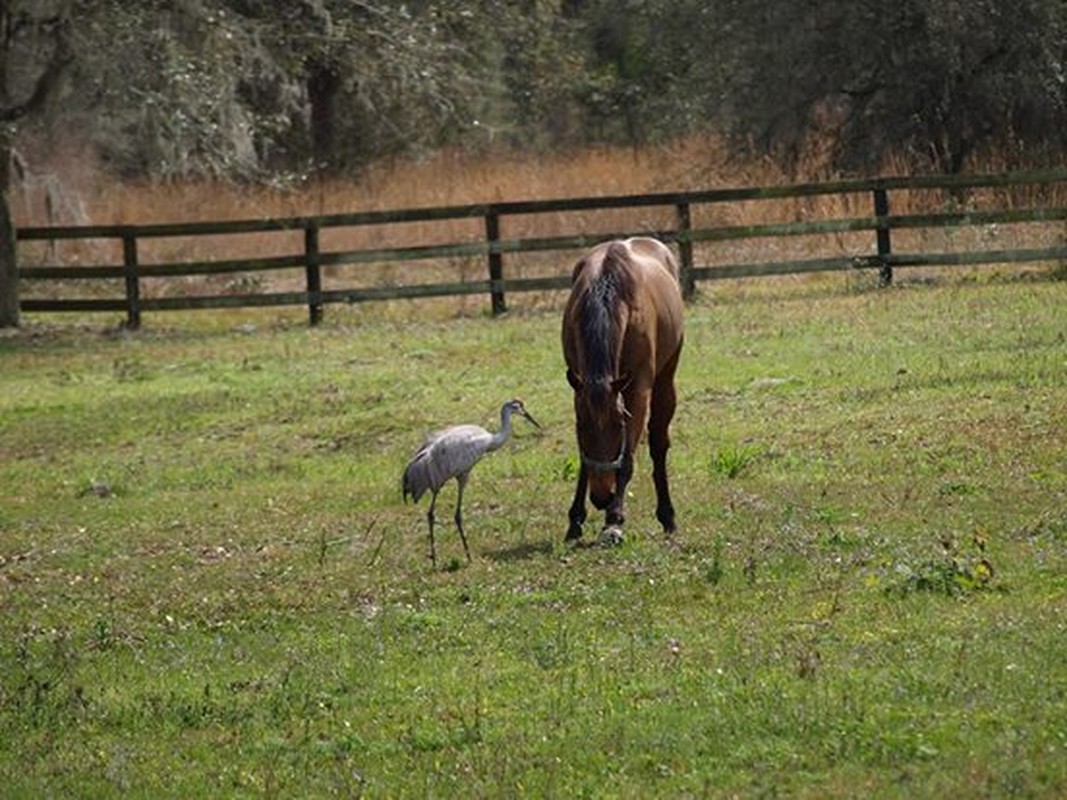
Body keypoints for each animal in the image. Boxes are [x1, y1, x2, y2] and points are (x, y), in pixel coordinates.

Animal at [559, 234, 682, 541]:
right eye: (582, 427)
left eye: (619, 425)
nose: (602, 496)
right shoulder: (579, 392)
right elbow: (583, 458)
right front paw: (575, 520)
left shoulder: (637, 390)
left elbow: (627, 460)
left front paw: (614, 520)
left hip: (665, 382)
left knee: (658, 443)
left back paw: (667, 516)